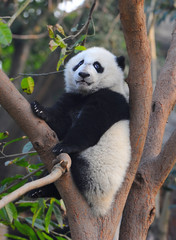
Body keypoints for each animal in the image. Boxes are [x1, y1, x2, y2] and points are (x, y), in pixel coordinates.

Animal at [31, 46, 131, 216]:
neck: (87, 93)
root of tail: (102, 205)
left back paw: (46, 189)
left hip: (95, 171)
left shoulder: (111, 100)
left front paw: (64, 146)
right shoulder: (73, 97)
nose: (83, 74)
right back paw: (39, 190)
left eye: (97, 66)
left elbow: (89, 126)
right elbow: (60, 122)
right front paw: (40, 109)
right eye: (80, 63)